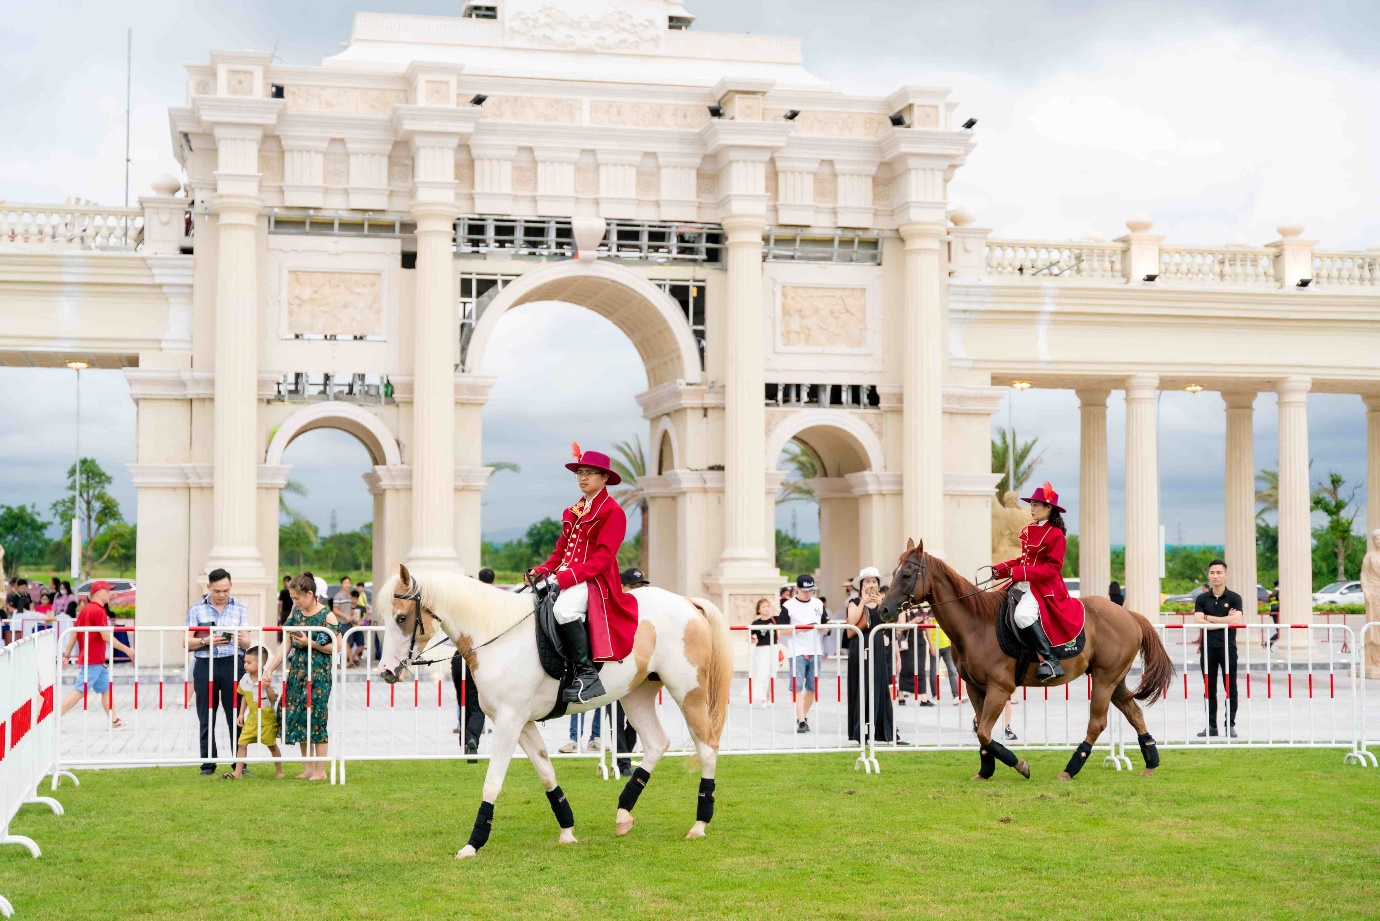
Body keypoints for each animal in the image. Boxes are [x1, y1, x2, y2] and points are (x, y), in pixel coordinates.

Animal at [378, 566, 734, 861]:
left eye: (401, 618)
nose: (386, 672)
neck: (496, 634)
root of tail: (687, 603)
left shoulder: (509, 722)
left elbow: (492, 783)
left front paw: (473, 843)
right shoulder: (522, 724)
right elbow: (546, 773)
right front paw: (567, 830)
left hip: (688, 692)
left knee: (707, 748)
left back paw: (699, 824)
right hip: (637, 695)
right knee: (657, 743)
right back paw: (623, 814)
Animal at [877, 544, 1170, 784]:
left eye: (906, 575)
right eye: (894, 573)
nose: (883, 610)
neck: (976, 624)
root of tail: (1128, 614)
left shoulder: (1000, 688)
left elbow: (984, 732)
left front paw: (1020, 765)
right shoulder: (974, 687)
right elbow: (981, 730)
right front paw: (985, 771)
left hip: (1103, 680)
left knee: (1096, 723)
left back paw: (1070, 769)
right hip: (1113, 681)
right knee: (1134, 713)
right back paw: (1150, 763)